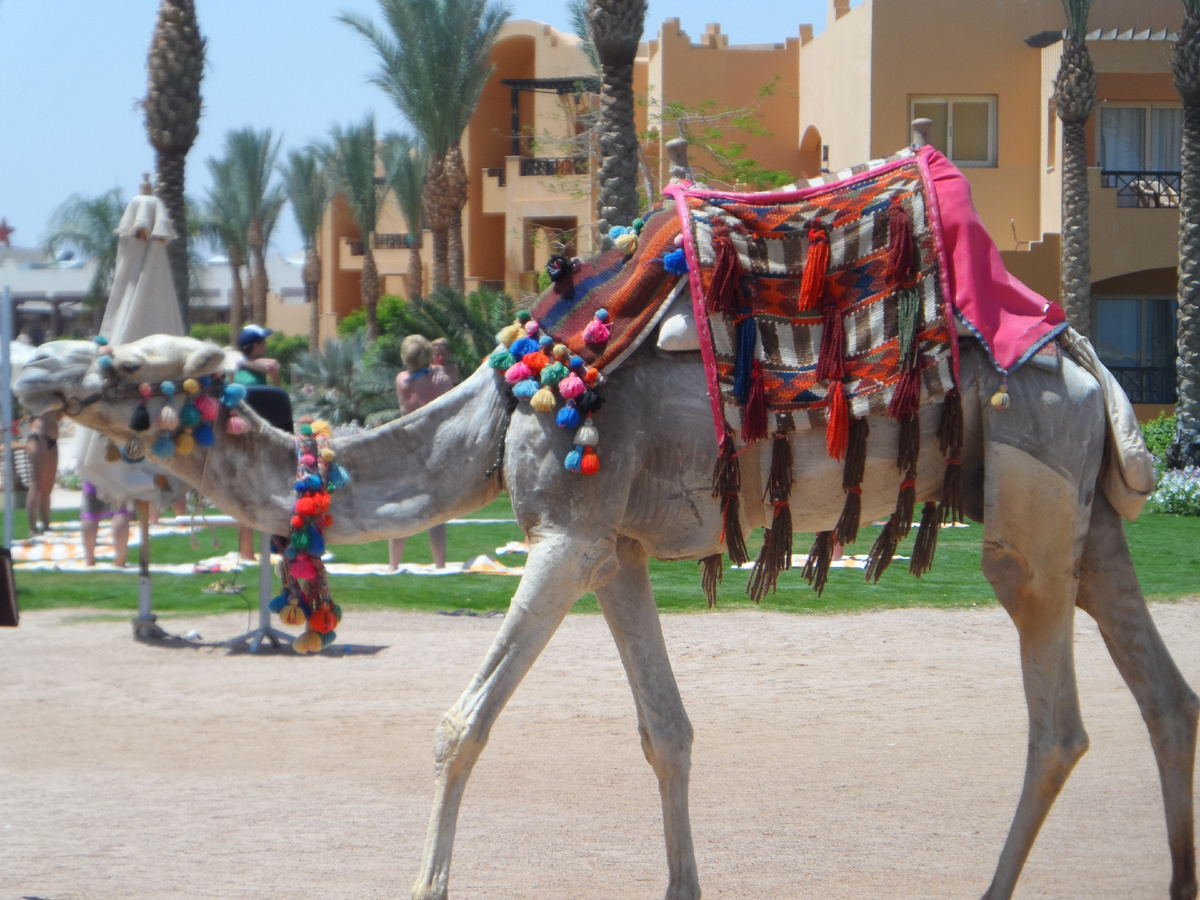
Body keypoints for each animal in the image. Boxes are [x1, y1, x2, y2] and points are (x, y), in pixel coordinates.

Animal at [11, 331, 1200, 900]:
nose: (29, 370)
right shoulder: (617, 549)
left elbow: (461, 725)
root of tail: (1089, 364)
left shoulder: (567, 532)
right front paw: (683, 887)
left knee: (1060, 725)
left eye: (121, 362)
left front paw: (425, 886)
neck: (495, 415)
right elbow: (665, 730)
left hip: (1024, 519)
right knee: (1165, 698)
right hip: (1091, 522)